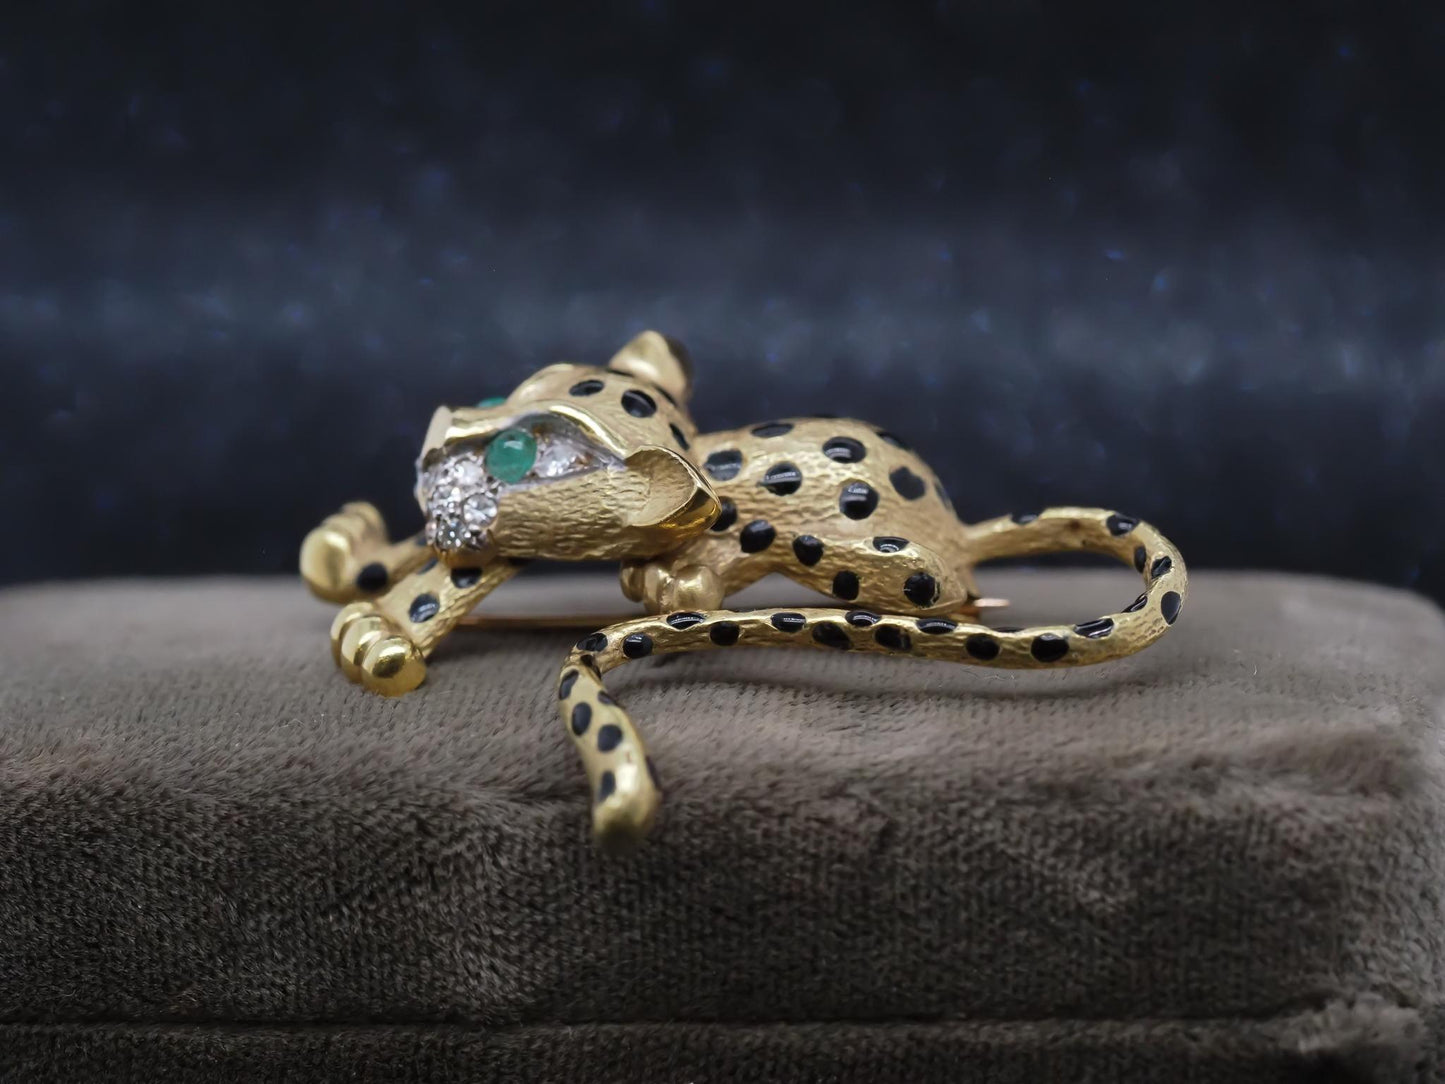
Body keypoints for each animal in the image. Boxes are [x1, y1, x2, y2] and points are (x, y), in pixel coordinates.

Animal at [302, 331, 1187, 849]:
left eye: (518, 457)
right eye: (494, 400)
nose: (437, 437)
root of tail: (961, 527)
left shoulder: (538, 530)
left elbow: (457, 576)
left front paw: (382, 634)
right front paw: (345, 552)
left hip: (897, 568)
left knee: (930, 585)